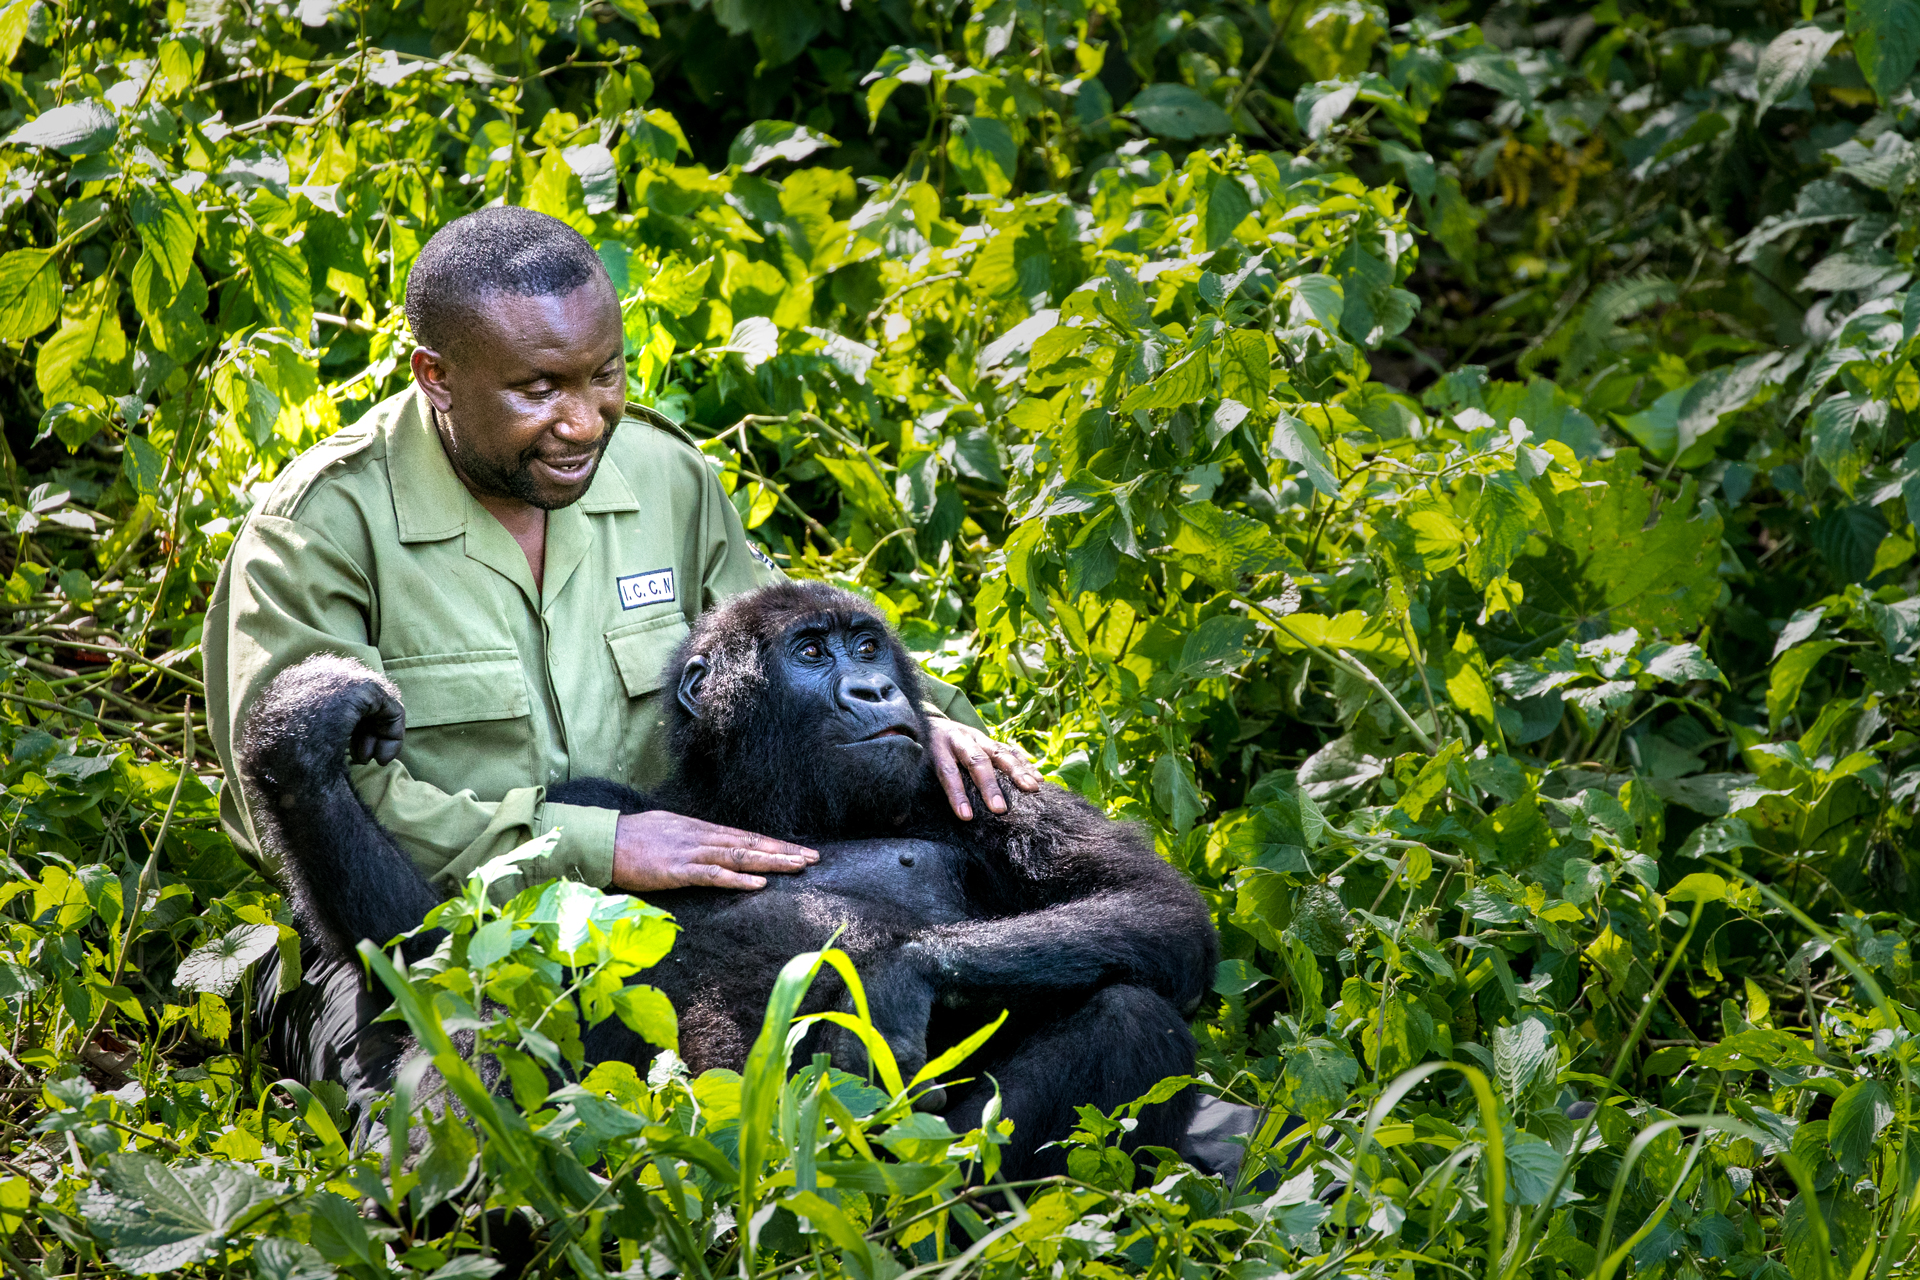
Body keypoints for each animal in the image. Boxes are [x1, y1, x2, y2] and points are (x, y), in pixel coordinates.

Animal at [240, 579, 1213, 1182]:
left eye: (868, 645)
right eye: (812, 652)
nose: (874, 690)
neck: (765, 800)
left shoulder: (978, 787)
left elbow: (1158, 912)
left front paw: (888, 971)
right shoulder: (588, 801)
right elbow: (440, 952)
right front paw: (298, 742)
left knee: (1131, 1017)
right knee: (487, 1018)